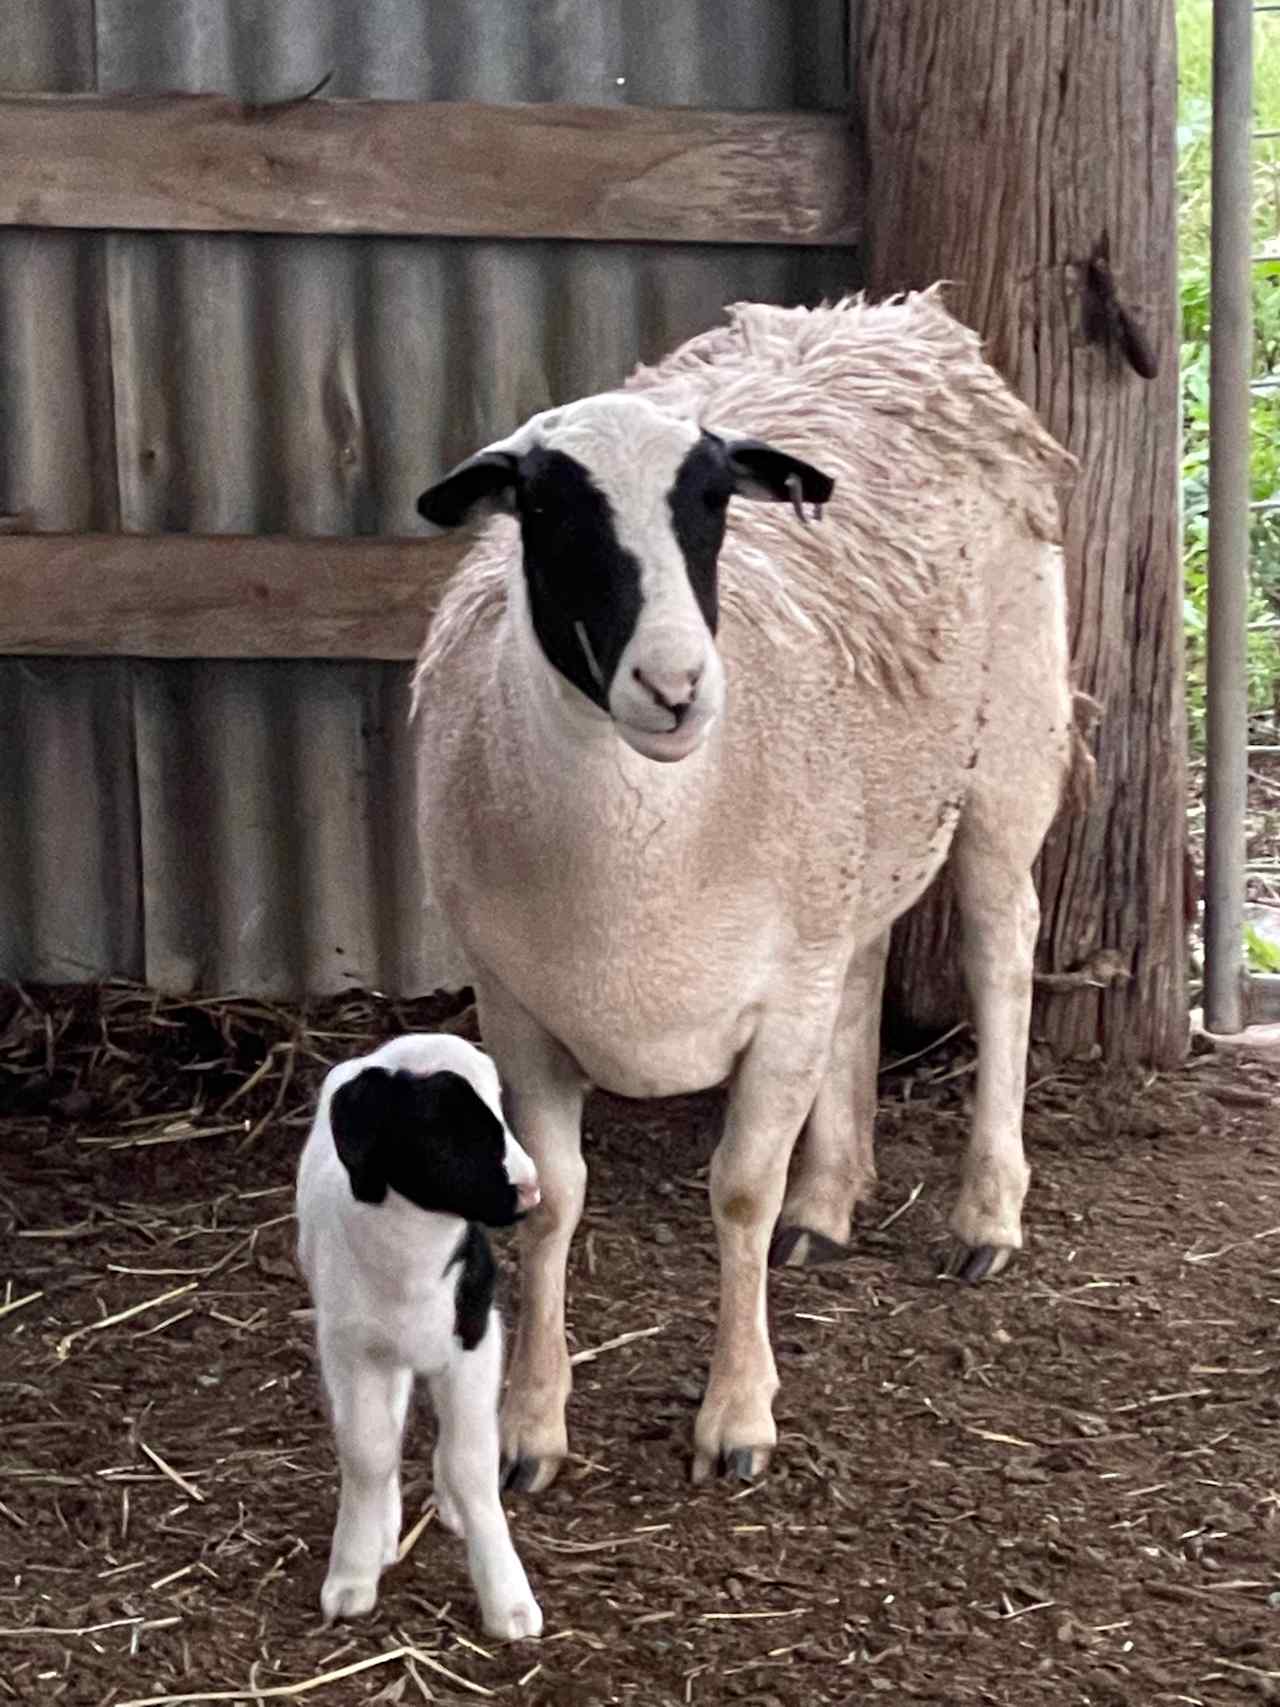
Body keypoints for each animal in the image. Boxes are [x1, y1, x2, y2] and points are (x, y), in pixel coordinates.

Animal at [298, 1024, 542, 1638]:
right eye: (443, 1133)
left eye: (502, 1114)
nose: (531, 1191)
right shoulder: (349, 1349)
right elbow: (368, 1450)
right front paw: (352, 1575)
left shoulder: (476, 1337)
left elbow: (471, 1460)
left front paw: (508, 1602)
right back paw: (386, 1526)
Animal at [411, 293, 1085, 1495]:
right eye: (544, 510)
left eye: (715, 501)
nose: (676, 687)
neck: (638, 853)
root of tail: (896, 322)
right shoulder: (518, 1009)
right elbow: (552, 1199)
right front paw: (529, 1429)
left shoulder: (776, 1009)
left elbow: (735, 1191)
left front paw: (736, 1420)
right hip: (854, 836)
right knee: (864, 967)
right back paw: (828, 1201)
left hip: (1014, 740)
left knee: (999, 955)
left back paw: (985, 1215)